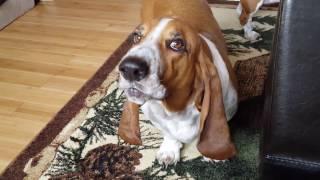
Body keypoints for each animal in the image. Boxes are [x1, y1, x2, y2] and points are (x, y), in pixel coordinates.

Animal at [117, 0, 238, 166]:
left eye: (177, 44)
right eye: (136, 37)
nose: (129, 68)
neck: (176, 109)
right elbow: (168, 133)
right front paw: (169, 149)